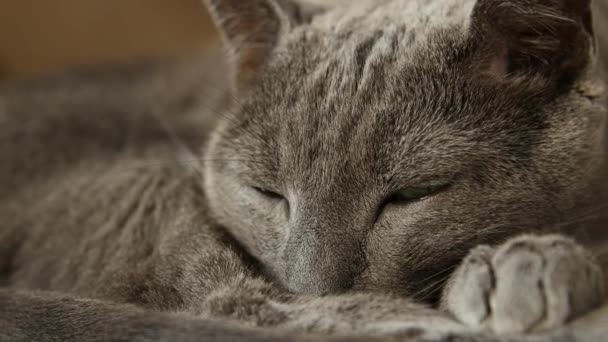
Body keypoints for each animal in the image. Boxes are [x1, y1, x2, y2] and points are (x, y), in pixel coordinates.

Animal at [1, 0, 608, 340]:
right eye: (267, 193)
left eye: (414, 193)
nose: (316, 288)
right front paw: (517, 269)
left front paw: (526, 263)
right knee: (226, 300)